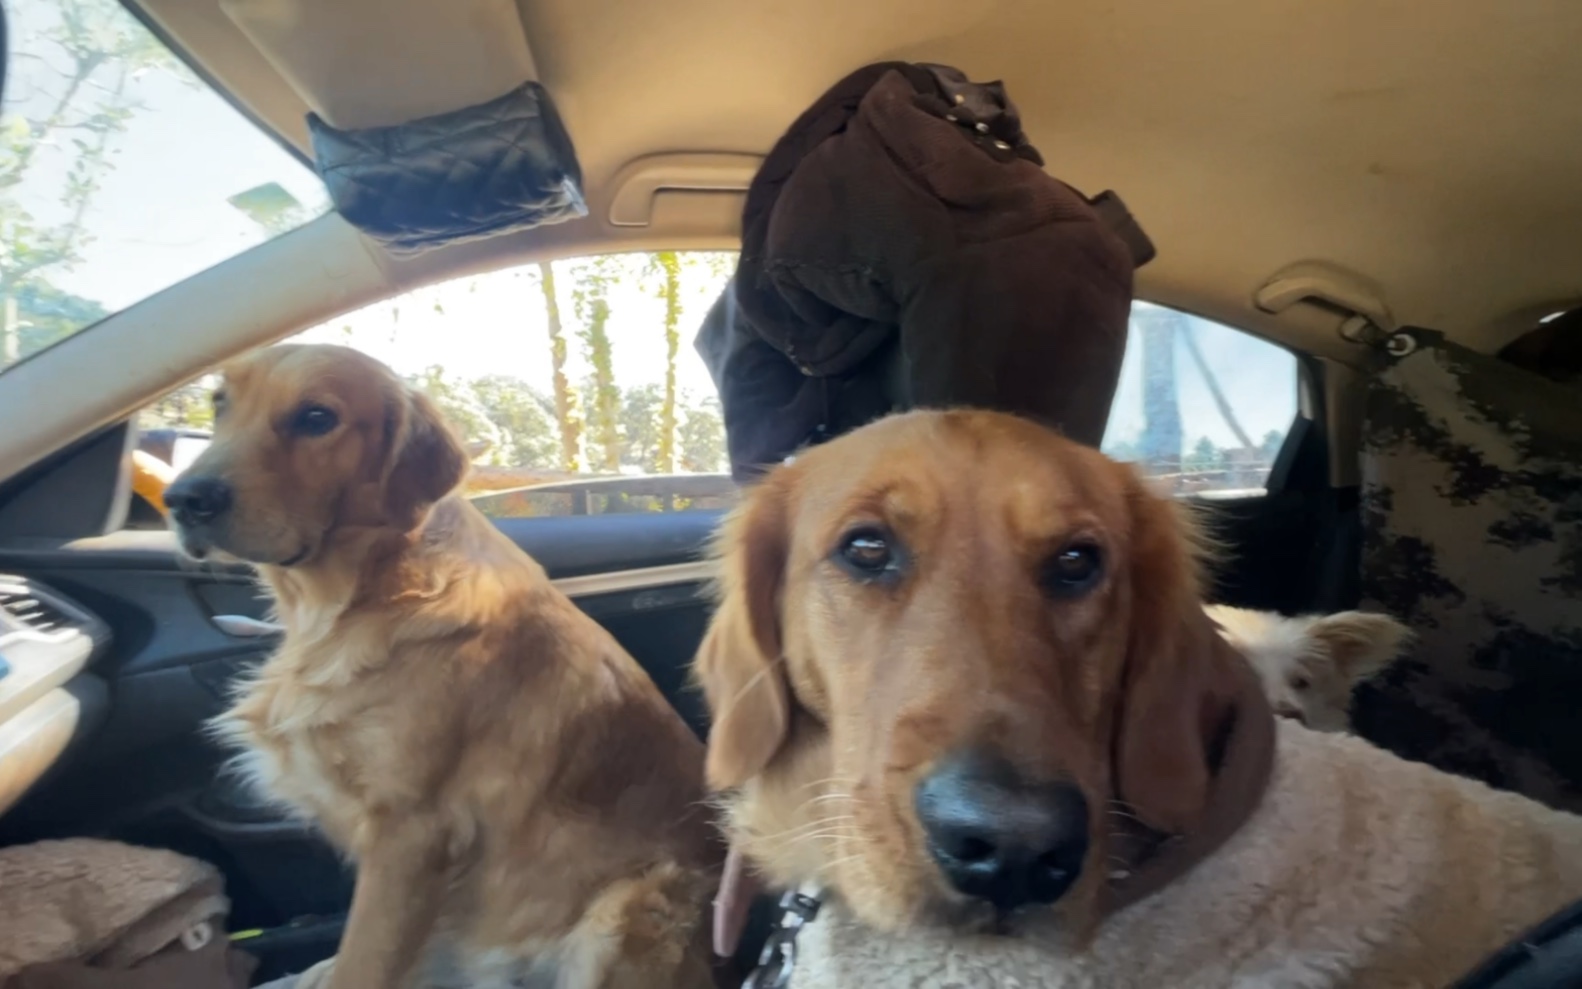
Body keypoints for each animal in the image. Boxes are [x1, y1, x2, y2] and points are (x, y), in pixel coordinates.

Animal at [163, 344, 721, 987]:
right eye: (219, 403)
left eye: (316, 418)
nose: (183, 499)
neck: (366, 593)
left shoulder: (411, 831)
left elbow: (362, 963)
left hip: (628, 906)